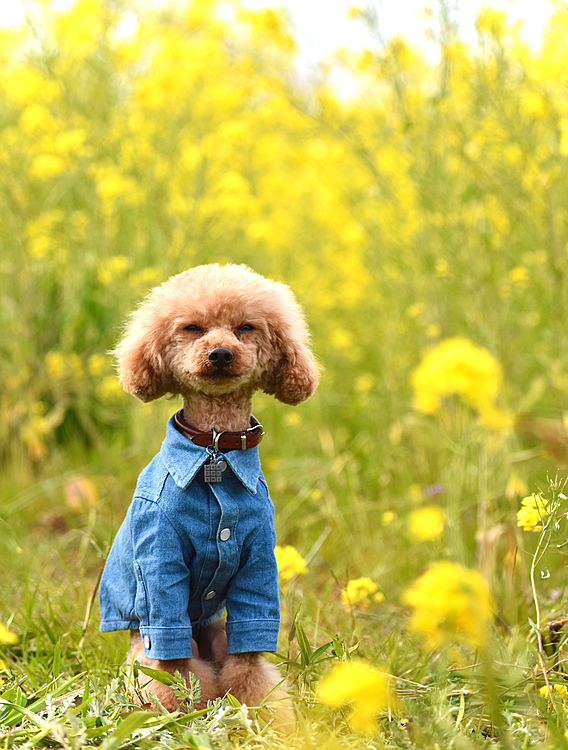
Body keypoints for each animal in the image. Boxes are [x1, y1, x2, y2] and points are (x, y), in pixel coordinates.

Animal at [99, 266, 318, 728]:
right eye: (192, 328)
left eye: (246, 327)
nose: (219, 354)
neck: (216, 449)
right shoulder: (159, 565)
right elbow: (170, 664)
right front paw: (176, 710)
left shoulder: (258, 561)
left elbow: (250, 656)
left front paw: (264, 711)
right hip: (142, 632)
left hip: (214, 627)